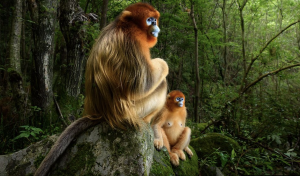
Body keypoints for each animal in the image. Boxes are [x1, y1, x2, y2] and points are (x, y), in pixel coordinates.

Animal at [34, 3, 169, 176]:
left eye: (154, 19)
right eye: (149, 20)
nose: (155, 26)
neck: (122, 26)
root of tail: (101, 113)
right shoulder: (133, 42)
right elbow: (143, 84)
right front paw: (163, 63)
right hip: (134, 110)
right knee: (161, 84)